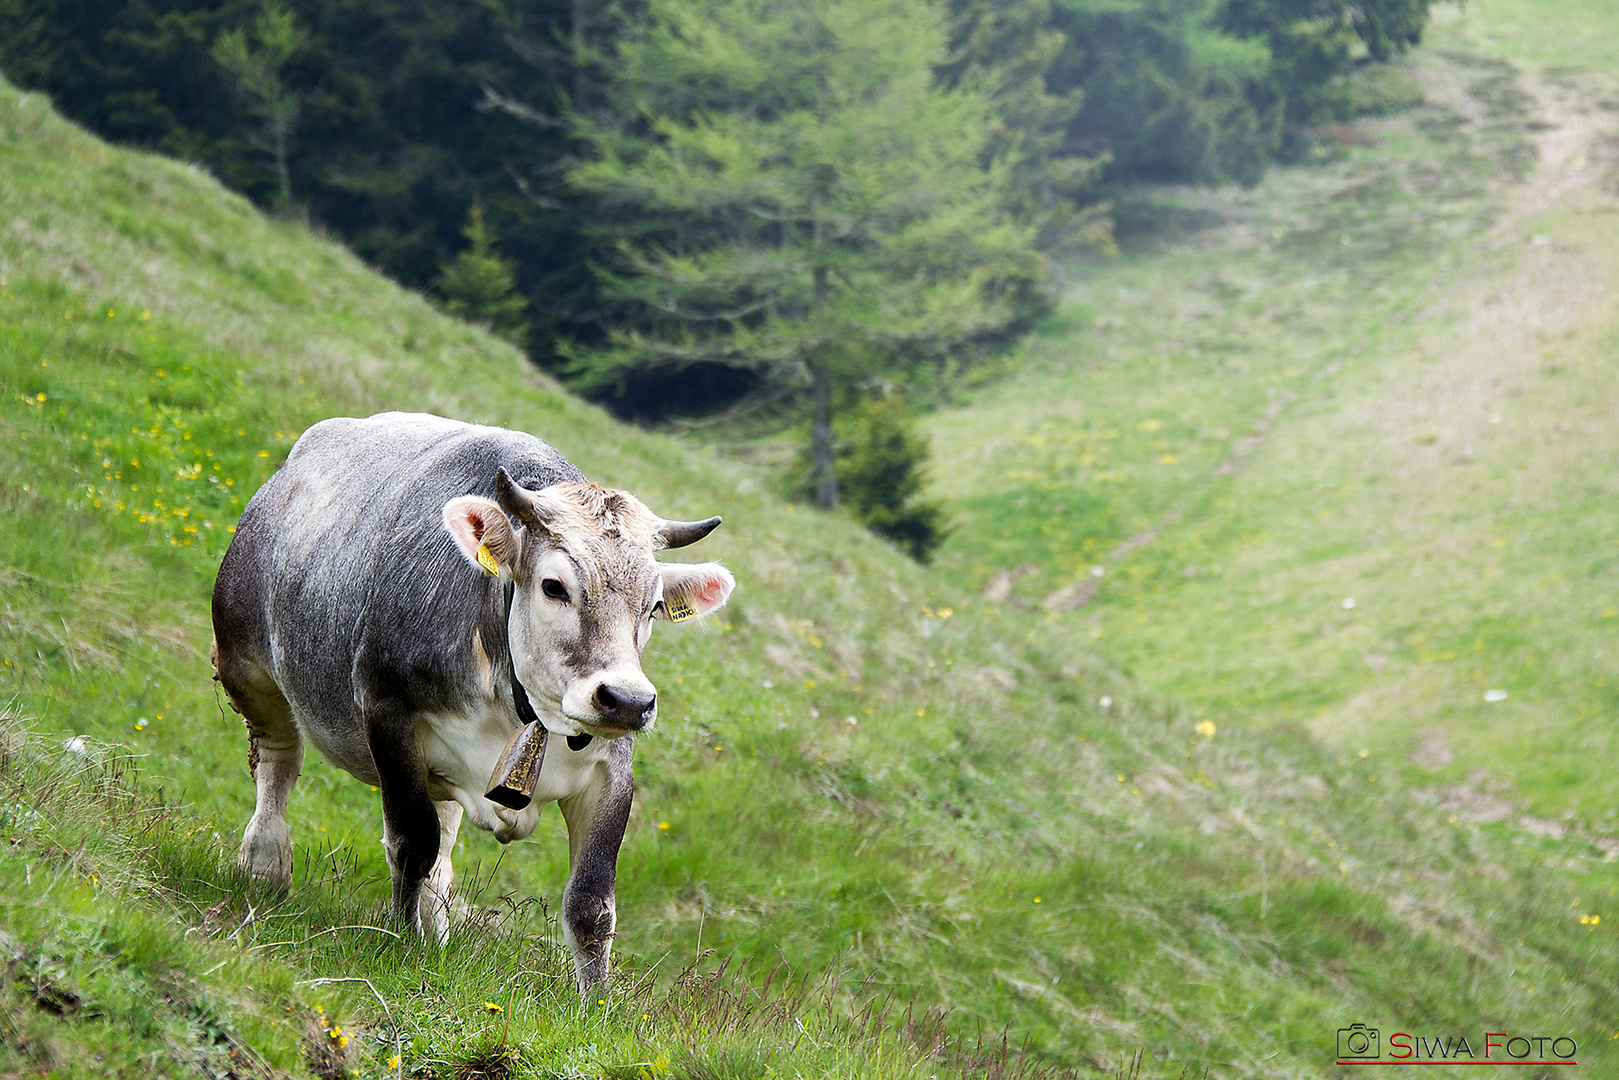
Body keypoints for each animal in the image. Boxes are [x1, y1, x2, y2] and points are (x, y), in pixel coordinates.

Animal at [208, 409, 735, 990]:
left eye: (655, 604)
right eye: (554, 586)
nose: (626, 701)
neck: (523, 713)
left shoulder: (612, 770)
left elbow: (591, 904)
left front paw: (592, 1002)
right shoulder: (387, 711)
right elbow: (411, 842)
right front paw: (400, 942)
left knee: (443, 838)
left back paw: (434, 929)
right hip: (244, 660)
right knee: (278, 757)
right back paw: (264, 865)